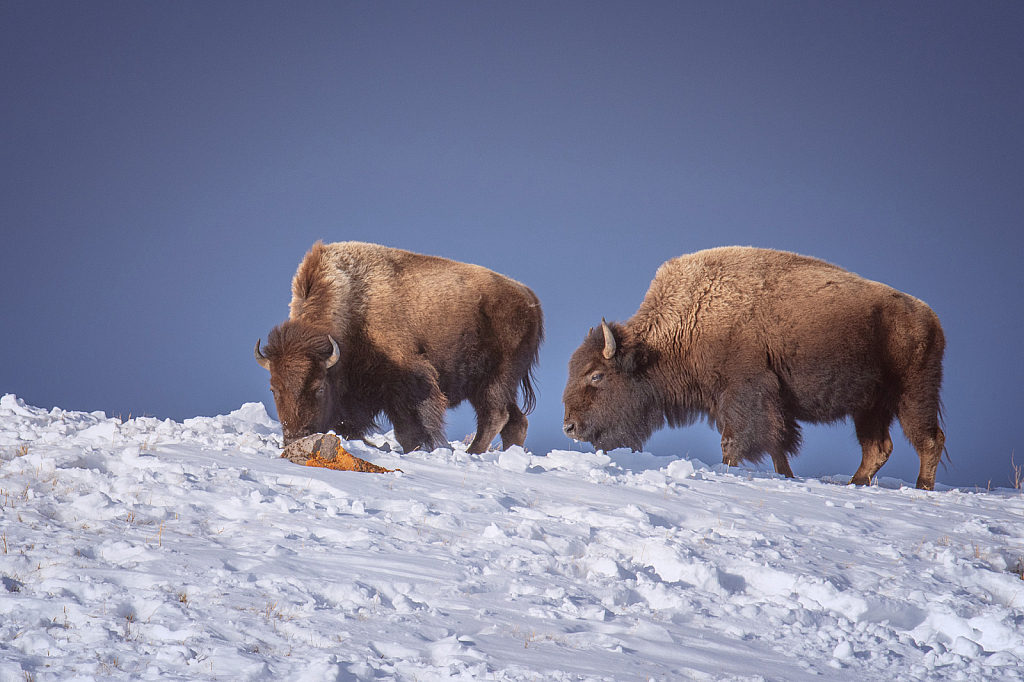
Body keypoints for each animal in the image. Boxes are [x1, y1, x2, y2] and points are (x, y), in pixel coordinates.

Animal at [256, 241, 544, 454]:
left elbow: (409, 430)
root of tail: (528, 297)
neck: (353, 306)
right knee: (516, 421)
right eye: (273, 389)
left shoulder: (406, 383)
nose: (295, 439)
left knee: (495, 416)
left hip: (495, 379)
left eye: (319, 388)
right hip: (494, 385)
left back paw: (472, 452)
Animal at [565, 246, 946, 485]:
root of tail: (930, 317)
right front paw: (786, 476)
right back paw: (856, 483)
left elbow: (735, 443)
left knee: (929, 440)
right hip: (869, 406)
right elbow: (777, 443)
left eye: (596, 375)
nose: (570, 427)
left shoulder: (744, 394)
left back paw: (921, 487)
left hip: (912, 394)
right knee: (878, 448)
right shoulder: (764, 405)